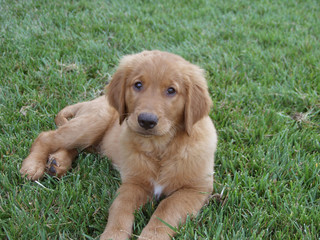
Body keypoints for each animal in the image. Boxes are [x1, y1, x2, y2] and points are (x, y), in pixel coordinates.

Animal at [20, 49, 218, 239]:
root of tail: (92, 101)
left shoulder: (196, 189)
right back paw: (32, 166)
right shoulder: (133, 183)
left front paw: (150, 236)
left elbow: (166, 209)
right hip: (92, 123)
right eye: (138, 85)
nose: (146, 121)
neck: (159, 148)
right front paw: (113, 235)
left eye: (171, 90)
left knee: (74, 147)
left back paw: (57, 163)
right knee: (46, 137)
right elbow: (120, 209)